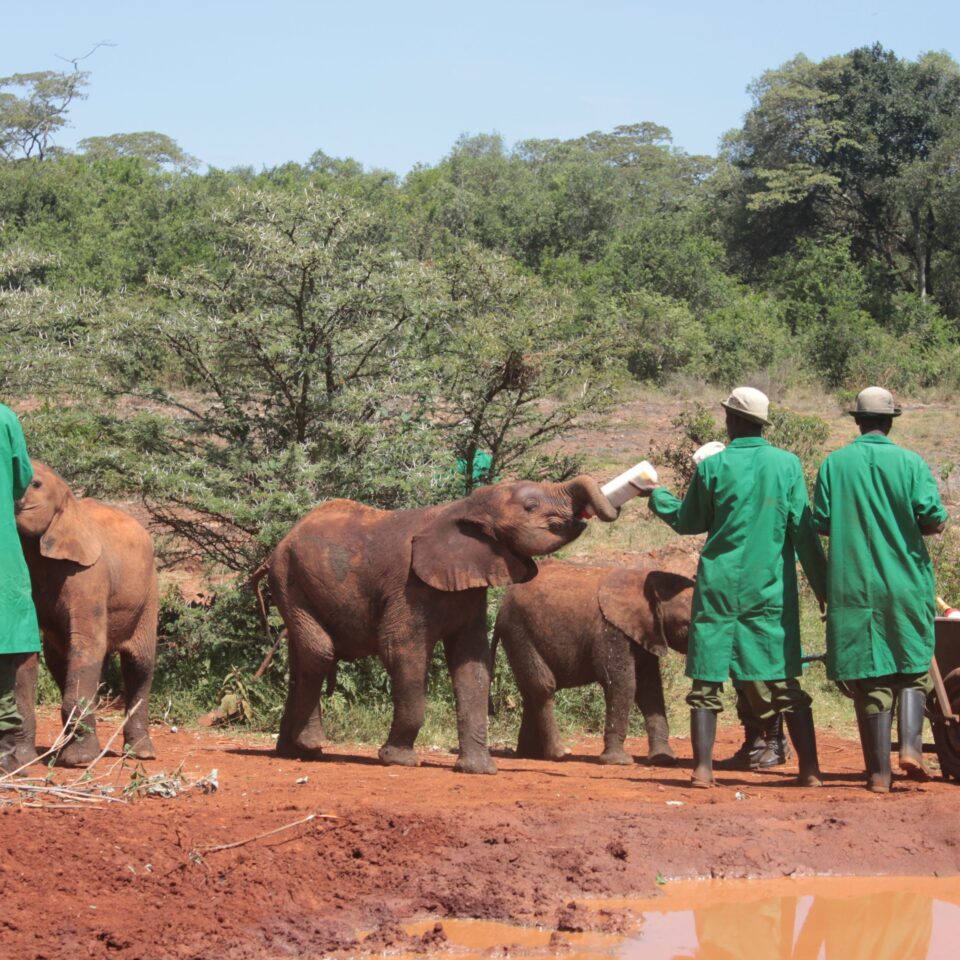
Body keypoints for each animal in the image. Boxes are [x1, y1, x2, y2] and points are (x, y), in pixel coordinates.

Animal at [14, 461, 158, 767]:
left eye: (34, 483)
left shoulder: (89, 574)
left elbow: (87, 644)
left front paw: (79, 760)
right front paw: (21, 762)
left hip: (150, 591)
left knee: (140, 665)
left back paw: (141, 753)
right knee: (60, 662)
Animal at [251, 475, 618, 774]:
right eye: (531, 506)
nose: (591, 512)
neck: (464, 506)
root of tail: (280, 544)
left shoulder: (471, 585)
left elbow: (472, 663)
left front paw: (479, 770)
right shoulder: (407, 587)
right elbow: (401, 651)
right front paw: (399, 760)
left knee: (302, 658)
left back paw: (294, 752)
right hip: (288, 579)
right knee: (319, 652)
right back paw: (310, 746)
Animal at [492, 554, 695, 765]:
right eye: (688, 625)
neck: (643, 580)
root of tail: (501, 607)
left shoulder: (645, 632)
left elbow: (650, 688)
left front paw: (663, 759)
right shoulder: (611, 631)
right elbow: (624, 684)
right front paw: (619, 762)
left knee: (529, 690)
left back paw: (530, 755)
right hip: (518, 632)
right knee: (543, 686)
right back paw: (558, 754)